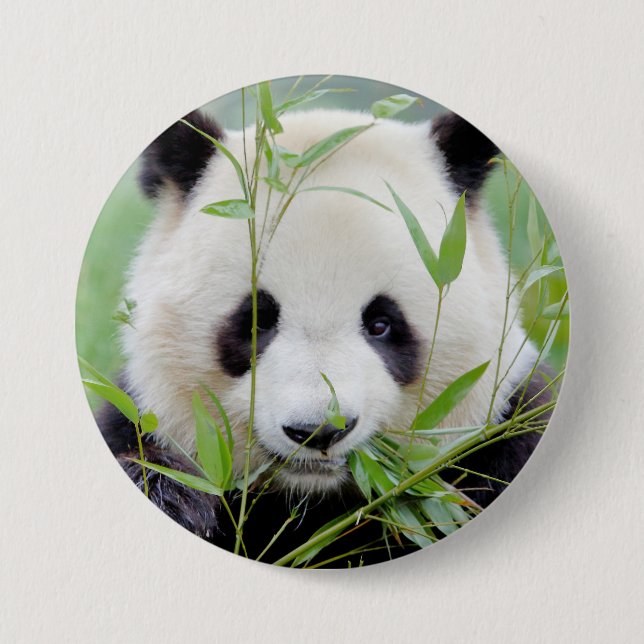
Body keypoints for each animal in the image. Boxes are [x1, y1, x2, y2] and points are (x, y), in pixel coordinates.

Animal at [99, 106, 552, 566]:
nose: (319, 430)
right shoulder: (141, 416)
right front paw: (176, 498)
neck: (309, 502)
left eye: (381, 324)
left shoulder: (501, 433)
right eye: (257, 320)